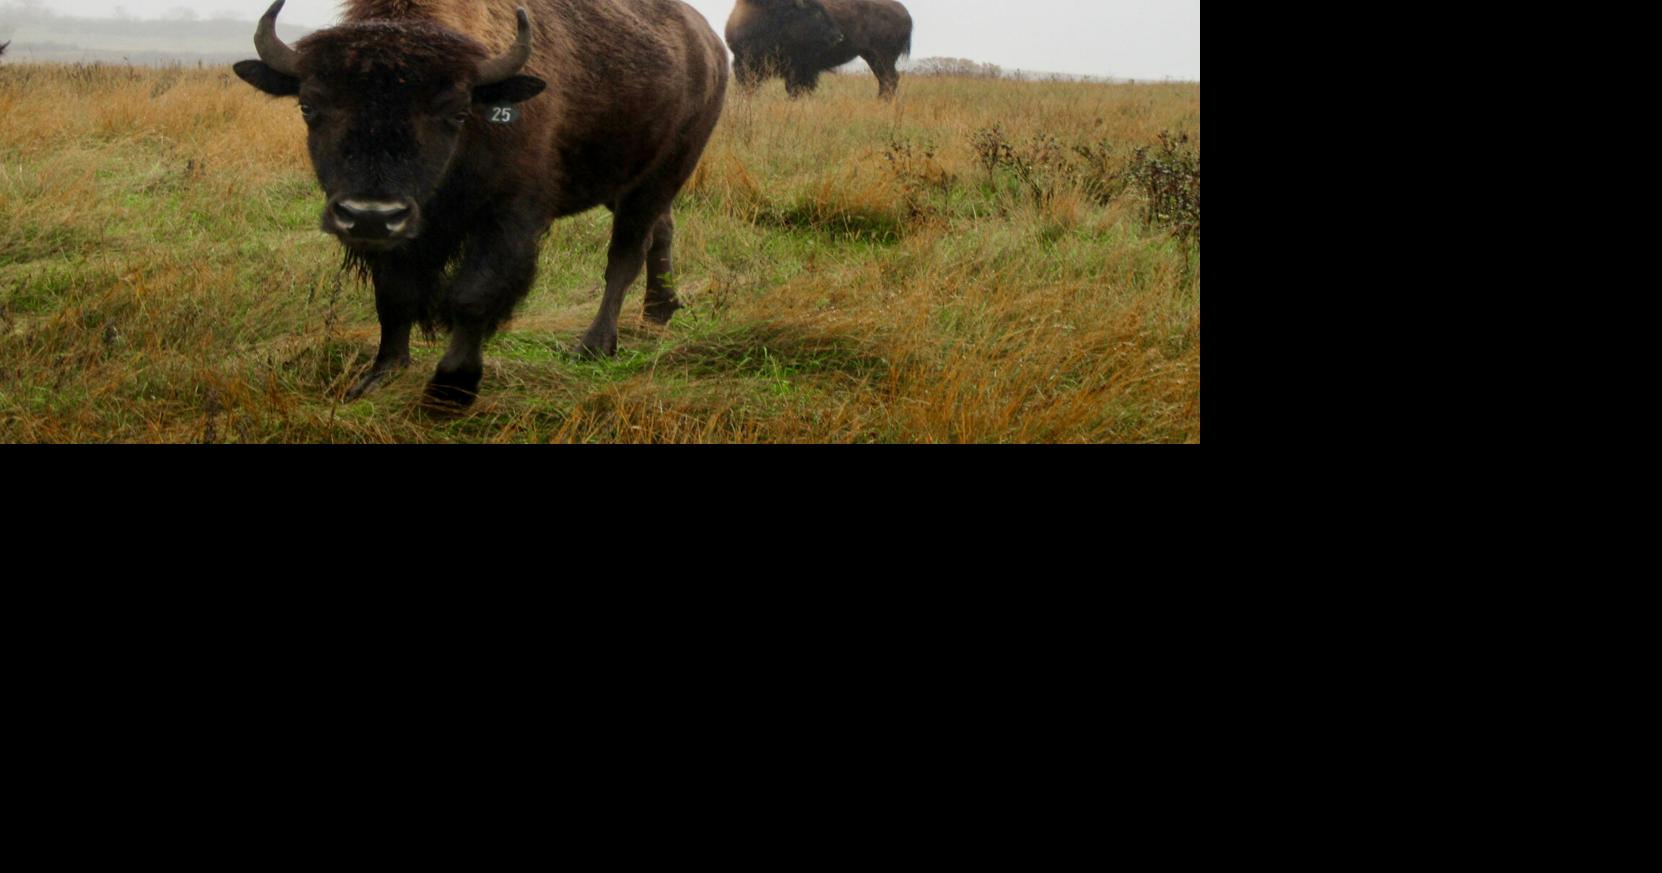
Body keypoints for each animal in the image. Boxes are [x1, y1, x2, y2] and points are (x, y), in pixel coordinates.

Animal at [233, 0, 728, 408]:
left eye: (455, 111)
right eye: (308, 106)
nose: (370, 215)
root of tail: (710, 44)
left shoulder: (509, 216)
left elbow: (474, 295)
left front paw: (450, 389)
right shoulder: (402, 235)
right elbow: (393, 295)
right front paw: (379, 376)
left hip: (664, 173)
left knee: (625, 255)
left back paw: (593, 346)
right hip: (626, 183)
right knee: (660, 231)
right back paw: (658, 314)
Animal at [726, 0, 913, 99]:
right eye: (816, 12)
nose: (838, 36)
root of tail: (904, 12)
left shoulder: (801, 70)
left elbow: (797, 90)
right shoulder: (744, 66)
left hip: (881, 57)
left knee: (889, 79)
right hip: (873, 58)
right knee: (886, 80)